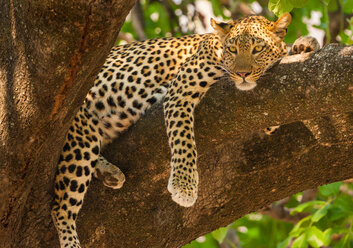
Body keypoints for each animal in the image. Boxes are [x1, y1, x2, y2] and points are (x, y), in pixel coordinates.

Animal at [51, 13, 318, 248]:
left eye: (258, 49)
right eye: (232, 50)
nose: (242, 74)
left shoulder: (270, 111)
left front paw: (304, 45)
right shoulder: (179, 91)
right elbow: (184, 141)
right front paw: (184, 186)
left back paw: (108, 172)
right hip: (80, 135)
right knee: (59, 207)